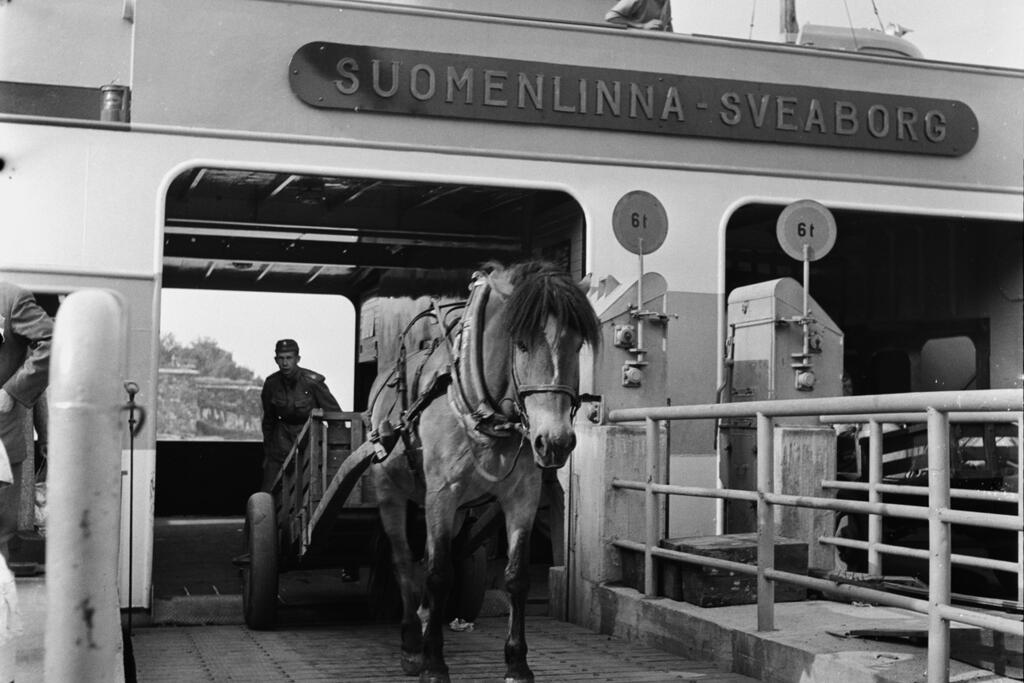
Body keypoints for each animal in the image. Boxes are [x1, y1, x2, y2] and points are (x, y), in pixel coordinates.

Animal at [370, 262, 598, 683]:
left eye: (577, 345)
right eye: (521, 344)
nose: (555, 441)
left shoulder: (523, 495)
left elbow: (516, 576)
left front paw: (517, 663)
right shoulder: (441, 493)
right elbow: (439, 574)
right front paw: (434, 663)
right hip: (390, 491)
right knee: (404, 561)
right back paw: (411, 643)